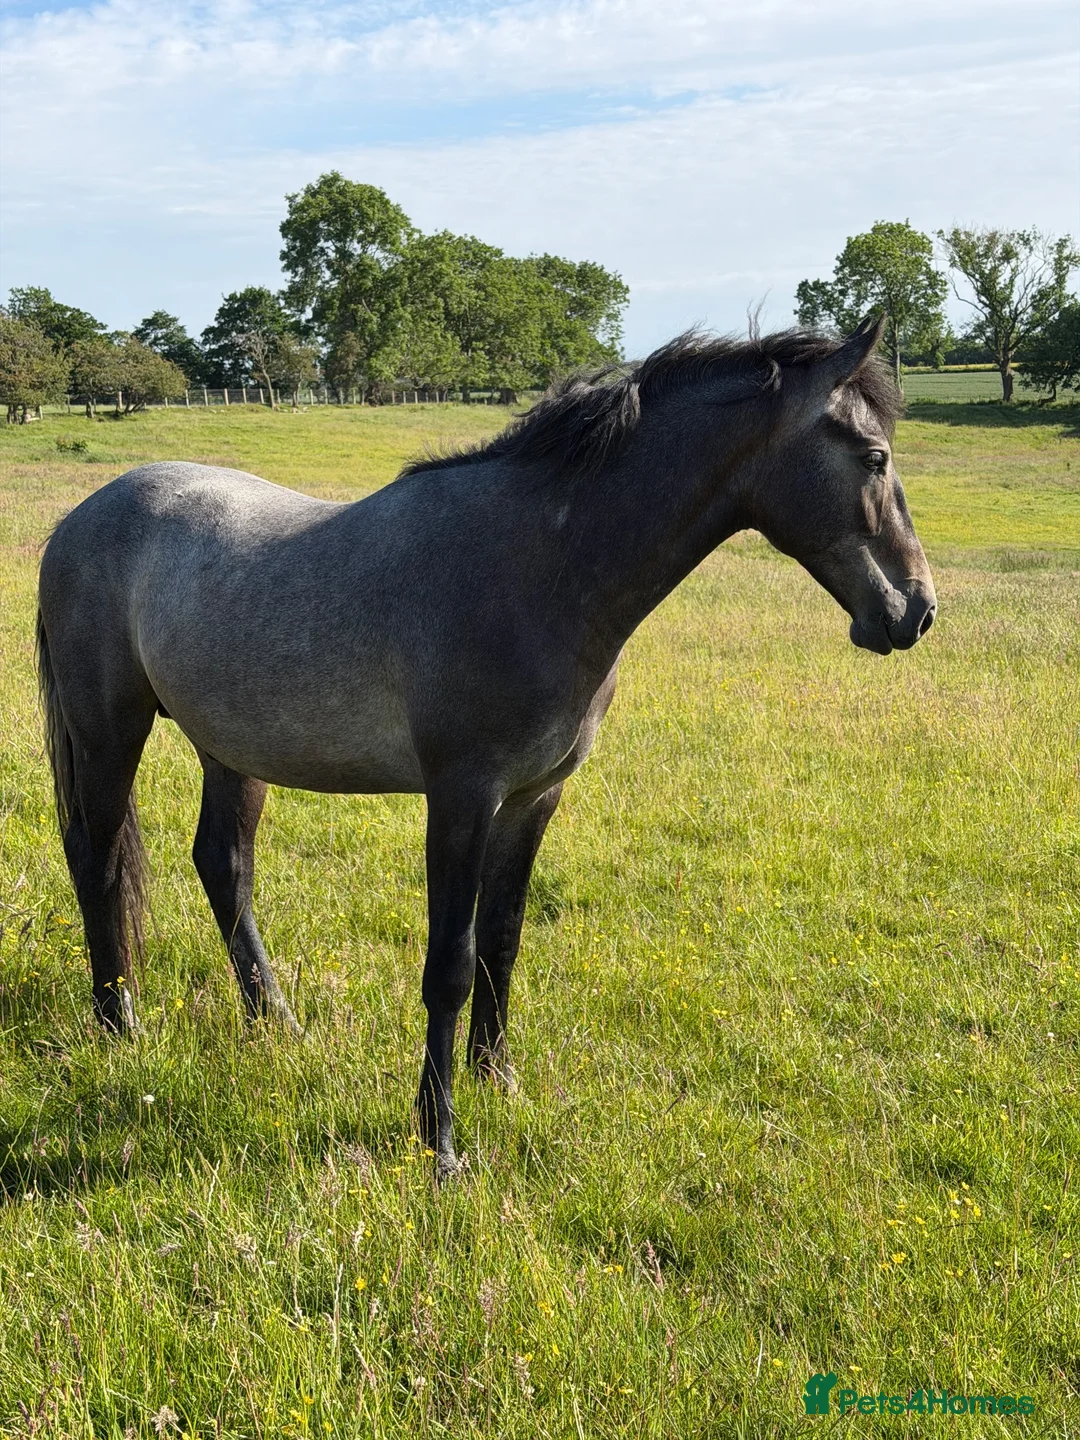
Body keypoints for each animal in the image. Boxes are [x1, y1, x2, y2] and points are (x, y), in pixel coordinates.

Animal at [36, 315, 936, 1178]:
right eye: (875, 456)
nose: (917, 611)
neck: (540, 566)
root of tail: (78, 519)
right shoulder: (462, 797)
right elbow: (451, 964)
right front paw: (439, 1144)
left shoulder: (534, 797)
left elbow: (503, 941)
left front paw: (497, 1081)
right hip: (109, 729)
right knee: (99, 858)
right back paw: (119, 1025)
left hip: (232, 747)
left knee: (223, 864)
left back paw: (276, 1023)